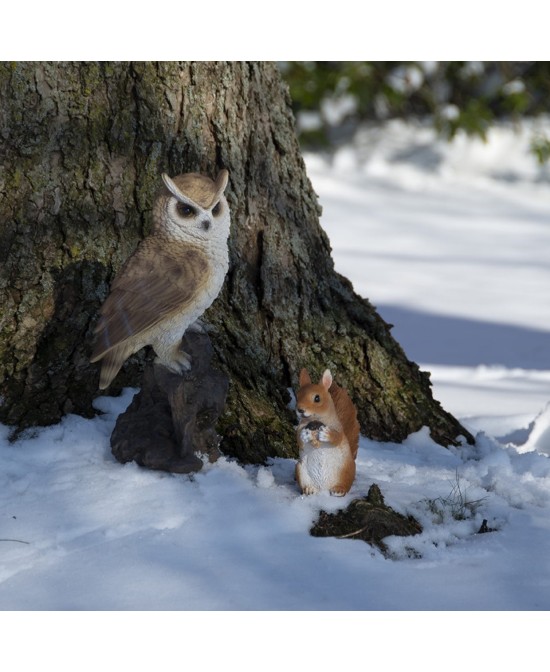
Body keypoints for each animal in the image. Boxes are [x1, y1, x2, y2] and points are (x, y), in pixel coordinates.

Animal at [295, 367, 360, 496]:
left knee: (345, 486)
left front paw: (326, 434)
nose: (300, 410)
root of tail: (323, 489)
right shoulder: (301, 427)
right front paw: (305, 435)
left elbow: (337, 437)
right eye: (297, 396)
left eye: (317, 398)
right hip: (300, 469)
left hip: (346, 471)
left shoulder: (338, 428)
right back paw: (309, 489)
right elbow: (299, 439)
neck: (316, 420)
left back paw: (339, 489)